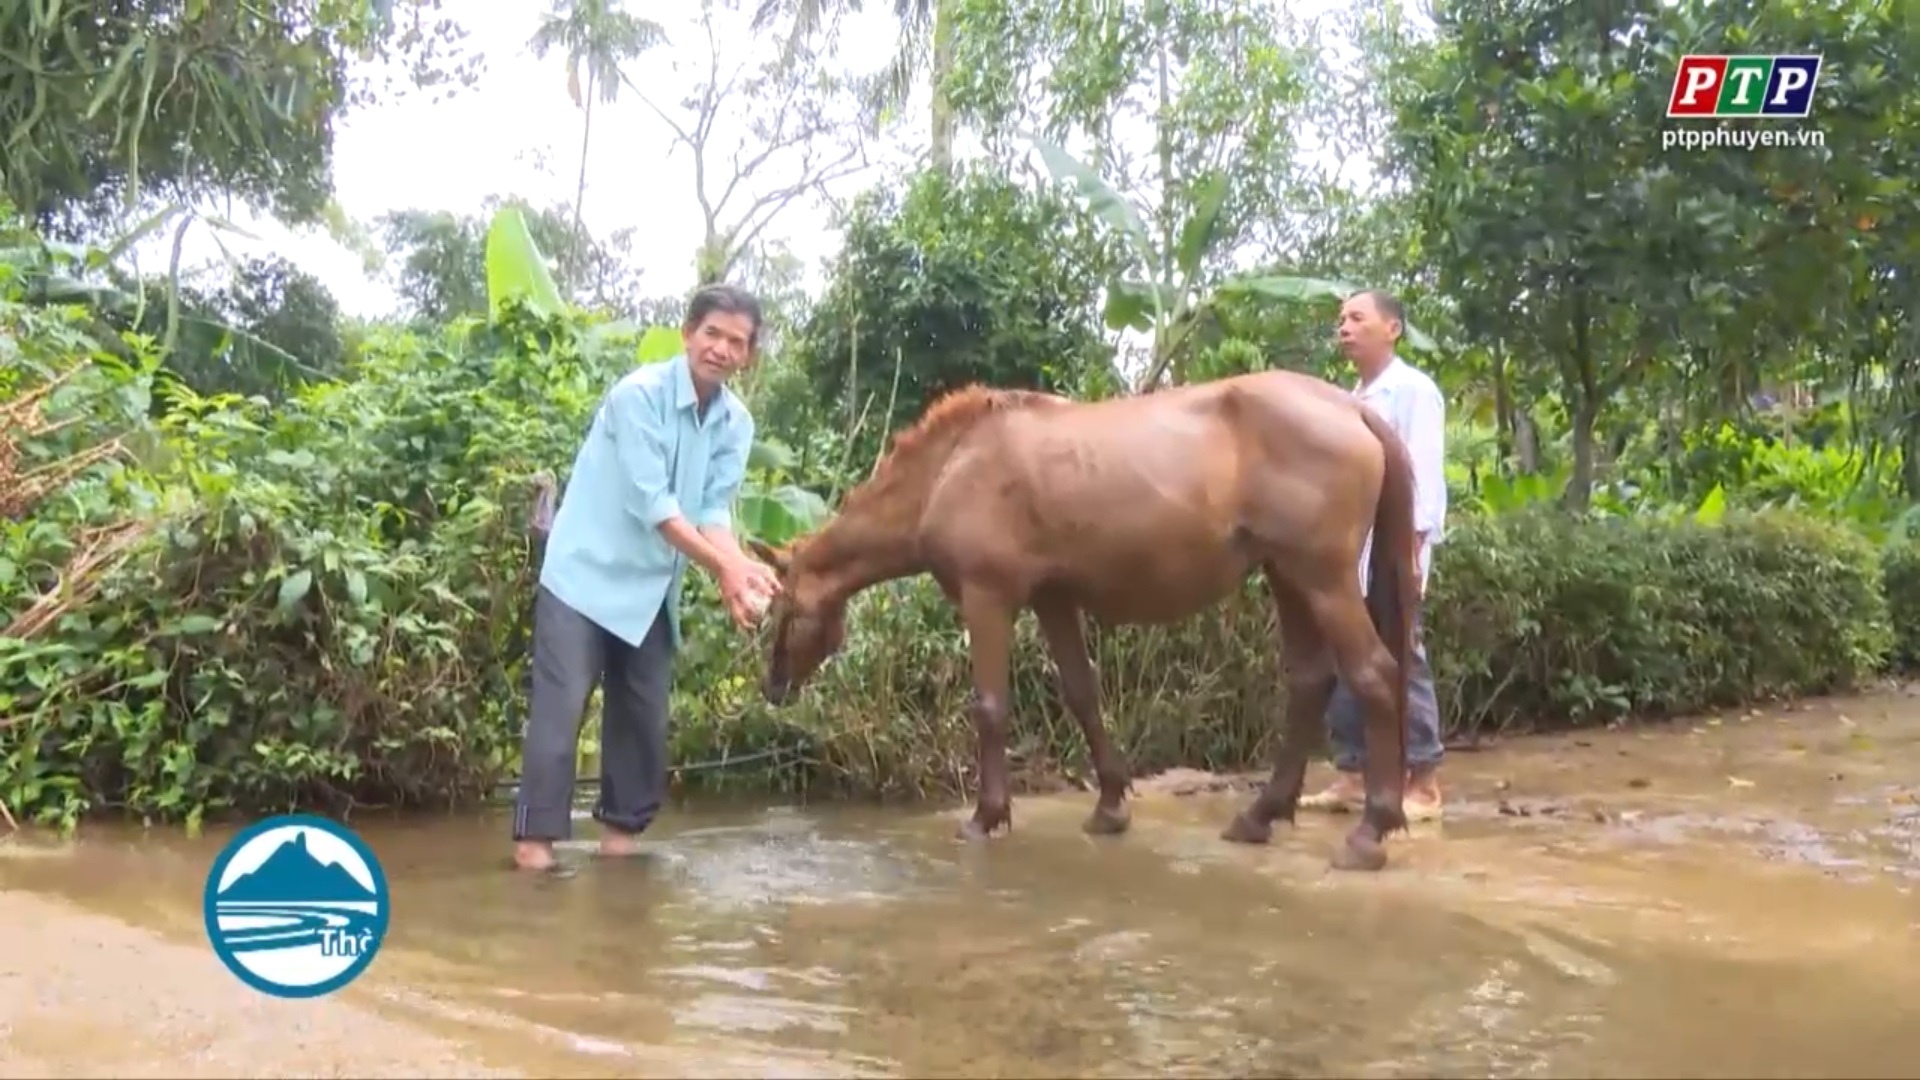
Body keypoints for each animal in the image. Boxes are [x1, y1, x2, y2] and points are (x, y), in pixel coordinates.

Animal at [748, 368, 1428, 864]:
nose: (772, 687)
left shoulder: (988, 597)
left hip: (1323, 579)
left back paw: (1371, 831)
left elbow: (989, 708)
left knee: (1372, 673)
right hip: (1287, 577)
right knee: (1310, 681)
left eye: (783, 608)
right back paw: (1259, 816)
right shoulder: (1054, 599)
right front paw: (1110, 807)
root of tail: (1353, 410)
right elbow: (1082, 693)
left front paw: (987, 816)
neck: (953, 466)